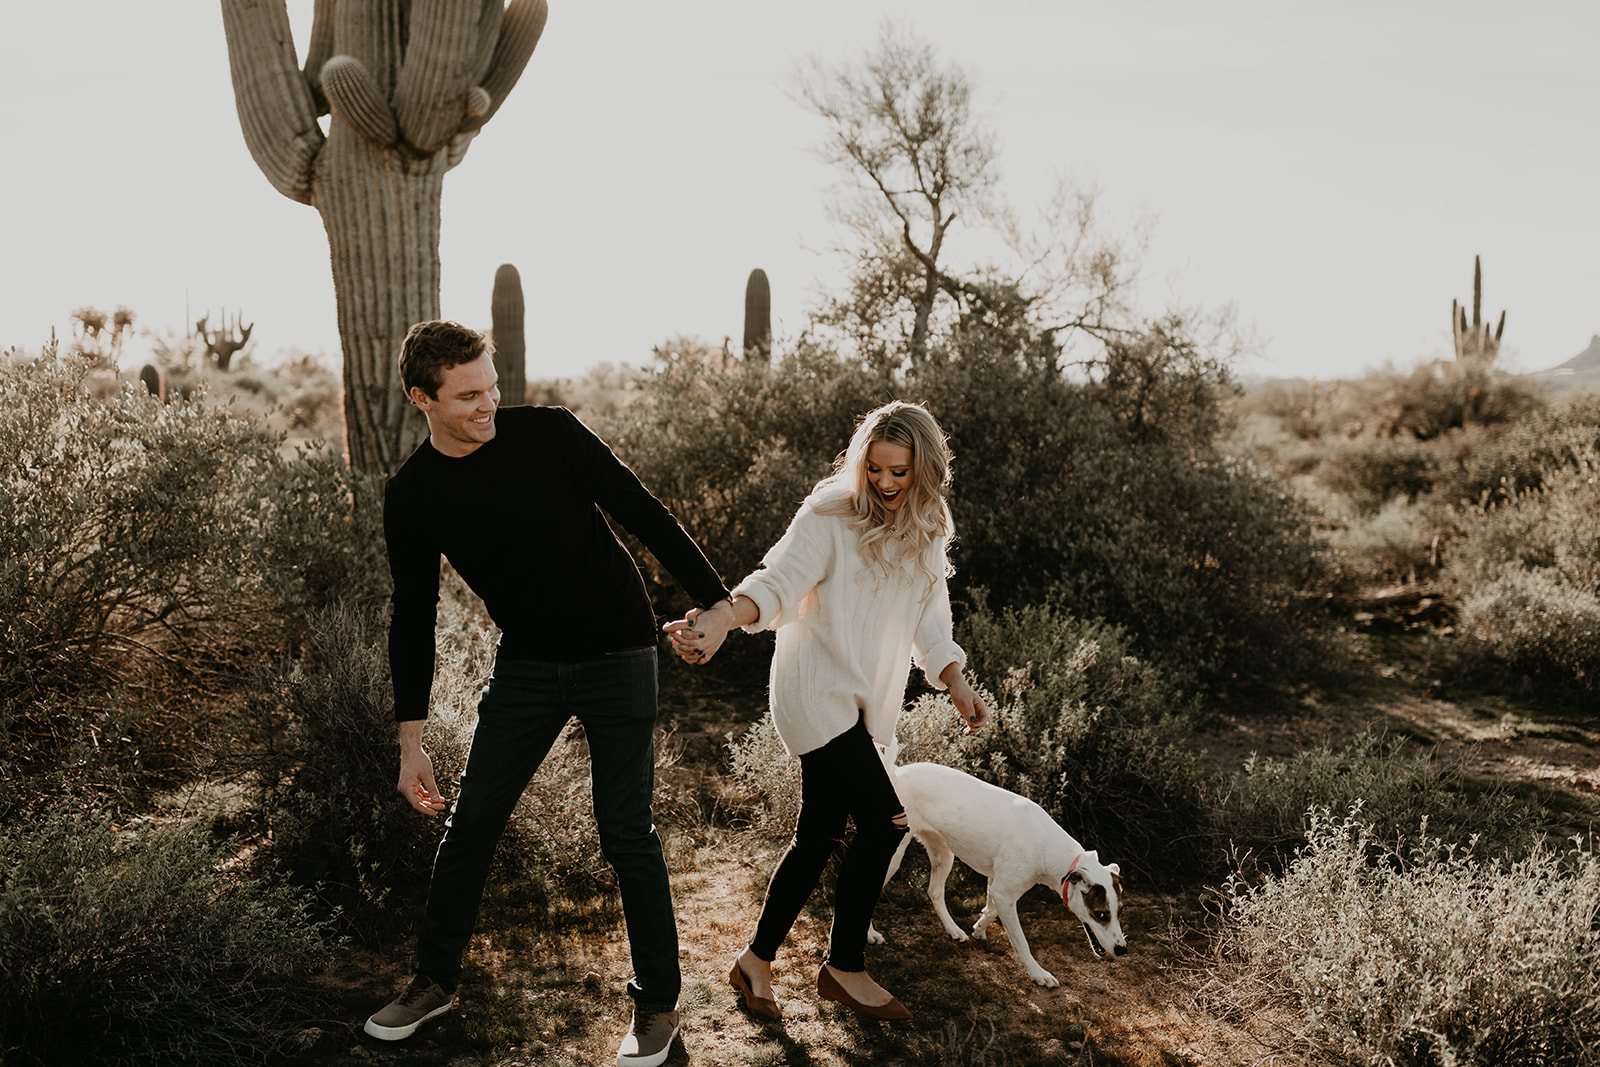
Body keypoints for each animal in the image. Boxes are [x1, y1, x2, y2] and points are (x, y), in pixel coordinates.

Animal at [864, 764, 1126, 991]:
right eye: (1101, 914)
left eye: (1119, 911)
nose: (1122, 950)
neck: (1046, 845)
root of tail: (896, 771)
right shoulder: (1004, 892)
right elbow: (1021, 941)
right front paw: (1038, 973)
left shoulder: (998, 886)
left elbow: (990, 909)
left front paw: (979, 928)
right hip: (893, 855)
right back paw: (870, 934)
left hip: (944, 854)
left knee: (935, 892)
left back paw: (953, 930)